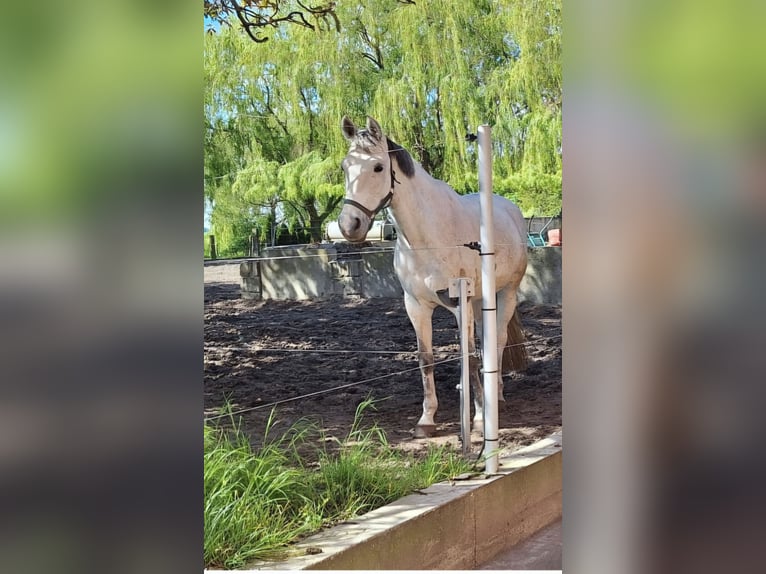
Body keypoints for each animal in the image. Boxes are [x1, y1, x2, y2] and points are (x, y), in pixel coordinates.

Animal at [340, 117, 532, 440]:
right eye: (345, 167)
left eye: (378, 167)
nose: (349, 225)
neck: (428, 238)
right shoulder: (416, 306)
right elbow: (426, 359)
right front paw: (427, 419)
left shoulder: (460, 304)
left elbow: (470, 357)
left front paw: (479, 419)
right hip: (481, 301)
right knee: (486, 342)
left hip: (505, 294)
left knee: (498, 341)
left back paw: (496, 395)